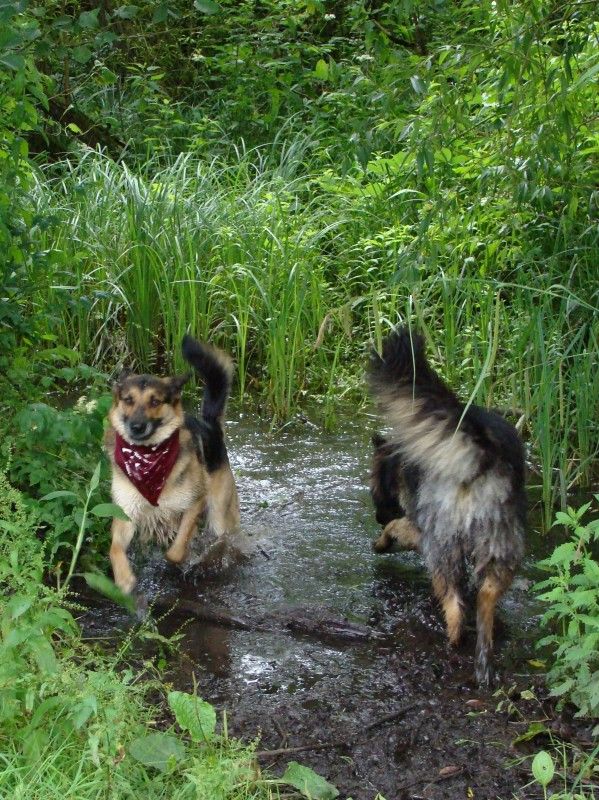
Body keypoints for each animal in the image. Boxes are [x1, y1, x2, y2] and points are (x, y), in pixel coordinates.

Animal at [105, 332, 239, 592]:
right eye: (128, 400)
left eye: (155, 402)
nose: (137, 426)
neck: (148, 458)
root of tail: (209, 425)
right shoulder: (126, 512)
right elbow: (113, 549)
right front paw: (124, 579)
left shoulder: (194, 503)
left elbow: (177, 548)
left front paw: (180, 559)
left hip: (219, 512)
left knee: (223, 535)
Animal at [368, 328, 528, 684]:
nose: (375, 516)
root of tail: (482, 448)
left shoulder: (420, 524)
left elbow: (397, 526)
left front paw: (382, 541)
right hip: (500, 543)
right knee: (485, 599)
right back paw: (483, 659)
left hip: (442, 540)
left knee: (454, 602)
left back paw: (453, 641)